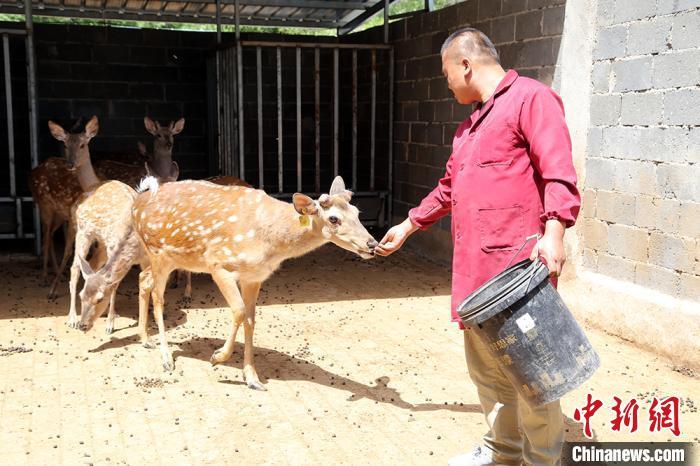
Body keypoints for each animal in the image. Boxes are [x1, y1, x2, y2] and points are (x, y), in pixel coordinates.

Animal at [129, 176, 374, 390]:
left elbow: (250, 319)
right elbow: (238, 311)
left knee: (143, 280)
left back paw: (145, 339)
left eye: (357, 212)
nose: (372, 244)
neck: (270, 244)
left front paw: (252, 378)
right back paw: (166, 358)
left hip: (170, 258)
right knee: (158, 297)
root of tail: (137, 201)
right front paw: (217, 357)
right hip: (157, 252)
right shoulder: (217, 264)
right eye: (333, 218)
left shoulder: (254, 277)